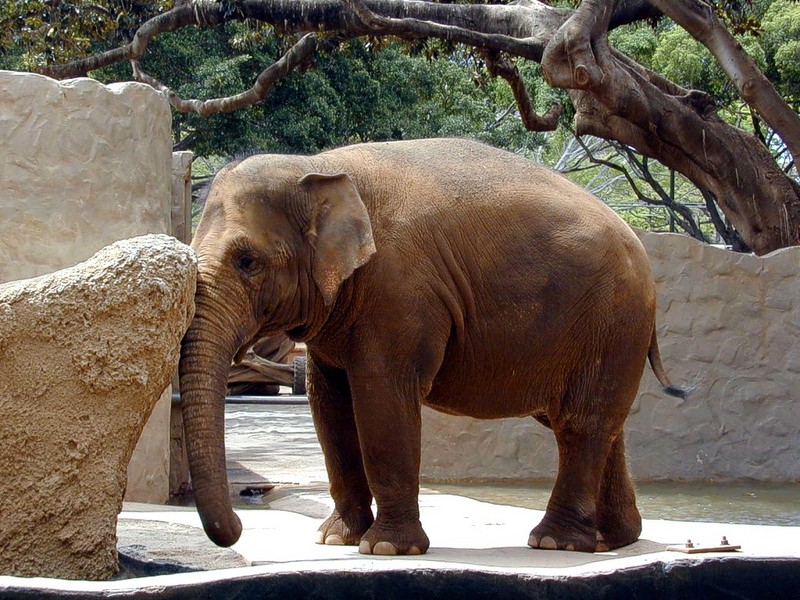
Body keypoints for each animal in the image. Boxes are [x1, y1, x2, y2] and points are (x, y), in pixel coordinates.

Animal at [178, 136, 684, 552]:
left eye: (247, 261)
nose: (239, 525)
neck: (316, 165)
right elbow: (328, 405)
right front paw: (335, 539)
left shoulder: (401, 291)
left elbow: (383, 398)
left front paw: (385, 548)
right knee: (598, 425)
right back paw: (610, 540)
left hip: (612, 320)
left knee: (581, 424)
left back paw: (554, 543)